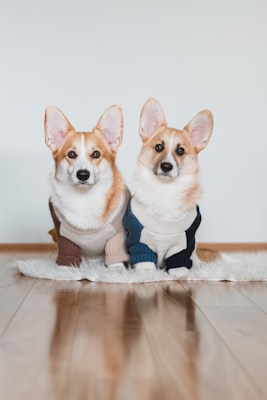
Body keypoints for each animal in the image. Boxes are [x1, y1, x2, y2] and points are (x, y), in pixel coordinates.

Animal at [44, 106, 130, 268]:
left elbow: (115, 258)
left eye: (96, 154)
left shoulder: (117, 233)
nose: (83, 175)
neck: (84, 198)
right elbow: (67, 257)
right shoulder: (63, 235)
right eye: (71, 154)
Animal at [124, 98, 215, 278]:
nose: (166, 166)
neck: (165, 189)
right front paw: (147, 274)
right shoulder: (139, 240)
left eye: (180, 151)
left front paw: (179, 274)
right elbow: (144, 261)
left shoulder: (184, 243)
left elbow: (179, 260)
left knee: (195, 255)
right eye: (159, 147)